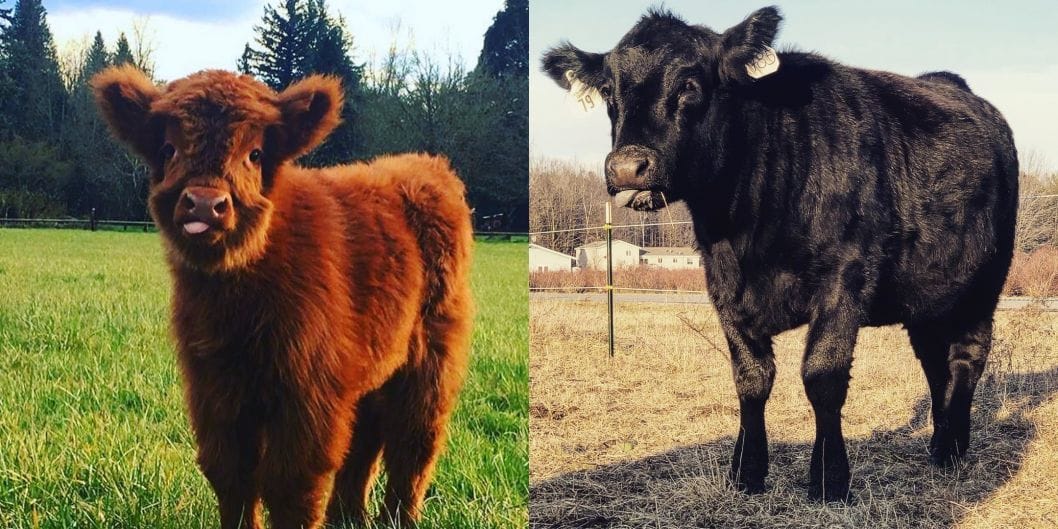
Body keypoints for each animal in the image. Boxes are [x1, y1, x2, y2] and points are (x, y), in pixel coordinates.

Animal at [92, 65, 475, 528]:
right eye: (169, 148)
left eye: (255, 153)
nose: (204, 204)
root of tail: (429, 164)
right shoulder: (214, 388)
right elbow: (231, 474)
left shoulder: (307, 393)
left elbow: (291, 484)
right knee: (365, 435)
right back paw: (346, 516)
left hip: (432, 357)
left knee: (414, 440)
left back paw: (395, 519)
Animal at [542, 6, 1018, 501]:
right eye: (608, 91)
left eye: (690, 83)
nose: (626, 167)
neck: (745, 233)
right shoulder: (723, 285)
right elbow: (751, 379)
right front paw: (746, 472)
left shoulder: (845, 278)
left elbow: (822, 377)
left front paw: (829, 479)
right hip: (927, 296)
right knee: (934, 362)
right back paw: (942, 440)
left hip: (985, 281)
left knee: (967, 356)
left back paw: (950, 450)